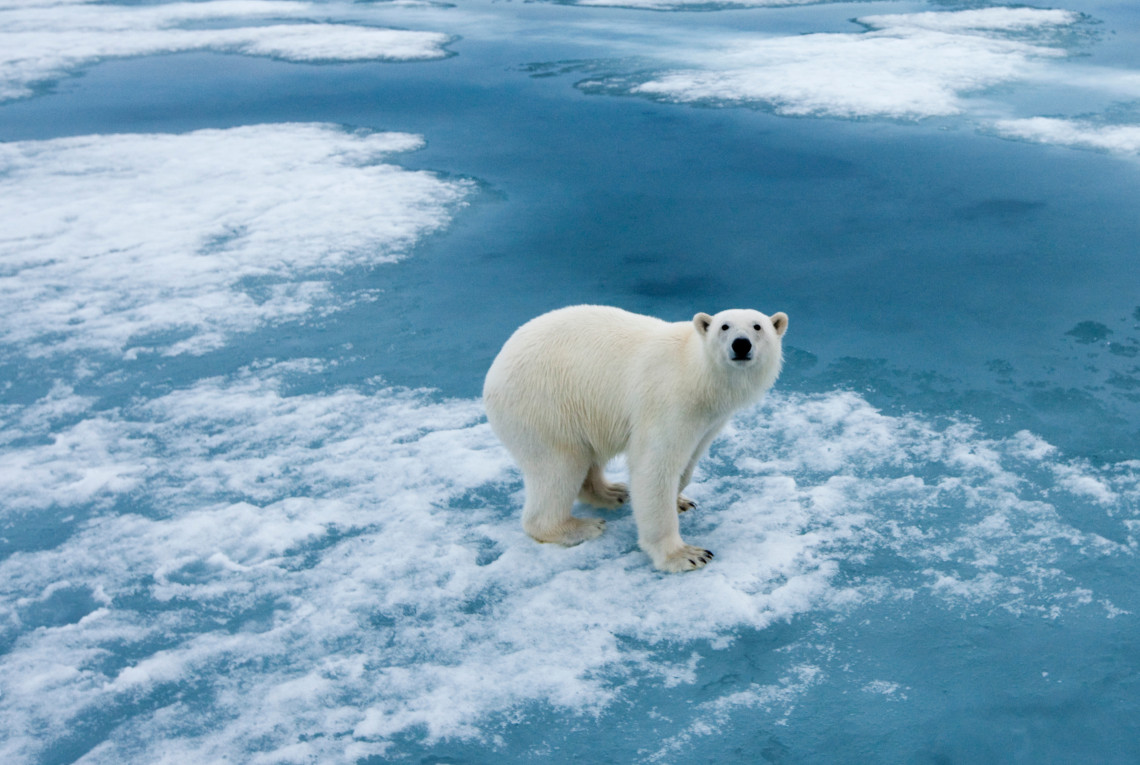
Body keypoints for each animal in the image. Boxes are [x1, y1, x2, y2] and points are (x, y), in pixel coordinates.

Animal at [478, 305, 784, 574]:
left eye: (758, 326)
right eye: (724, 326)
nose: (741, 345)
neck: (698, 373)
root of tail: (494, 369)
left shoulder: (711, 419)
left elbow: (689, 460)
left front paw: (681, 500)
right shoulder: (669, 400)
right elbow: (654, 466)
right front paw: (685, 555)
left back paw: (613, 492)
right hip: (543, 405)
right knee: (559, 466)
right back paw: (580, 527)